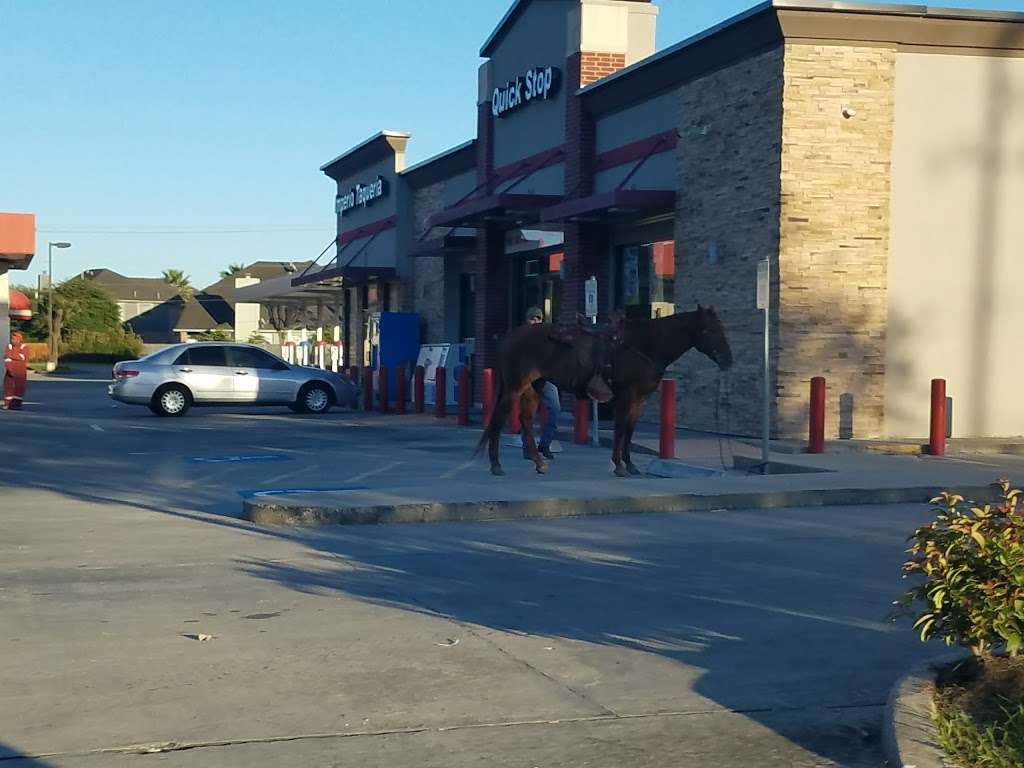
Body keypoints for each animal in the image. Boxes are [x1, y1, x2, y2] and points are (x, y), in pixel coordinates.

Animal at [475, 317, 610, 475]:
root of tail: (507, 338)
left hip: (533, 388)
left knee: (525, 419)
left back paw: (538, 462)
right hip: (514, 388)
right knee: (500, 418)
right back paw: (496, 464)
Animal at [602, 305, 733, 475]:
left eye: (721, 327)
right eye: (710, 330)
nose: (728, 359)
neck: (642, 346)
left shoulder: (638, 400)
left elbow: (630, 429)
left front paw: (629, 464)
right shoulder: (625, 397)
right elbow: (620, 429)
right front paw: (618, 465)